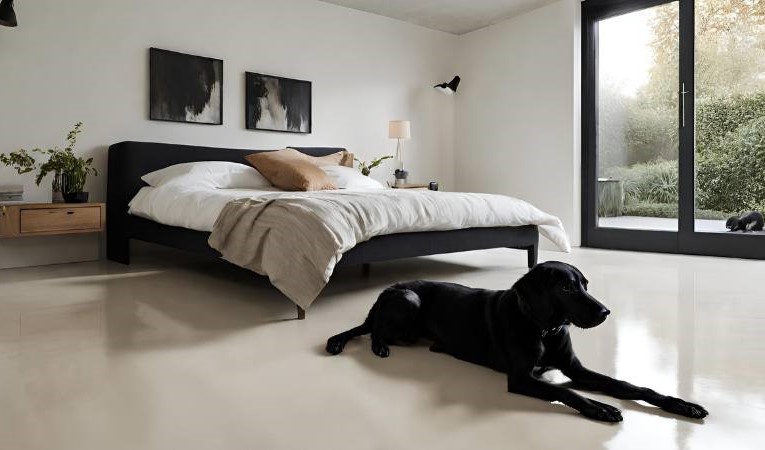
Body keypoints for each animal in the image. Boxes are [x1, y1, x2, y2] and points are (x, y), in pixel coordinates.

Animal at [326, 262, 708, 424]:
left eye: (585, 284)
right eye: (567, 287)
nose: (605, 311)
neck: (544, 329)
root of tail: (385, 291)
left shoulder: (576, 369)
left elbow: (631, 386)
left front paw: (681, 404)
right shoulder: (522, 379)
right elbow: (568, 393)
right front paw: (599, 407)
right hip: (409, 300)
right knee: (372, 329)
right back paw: (379, 346)